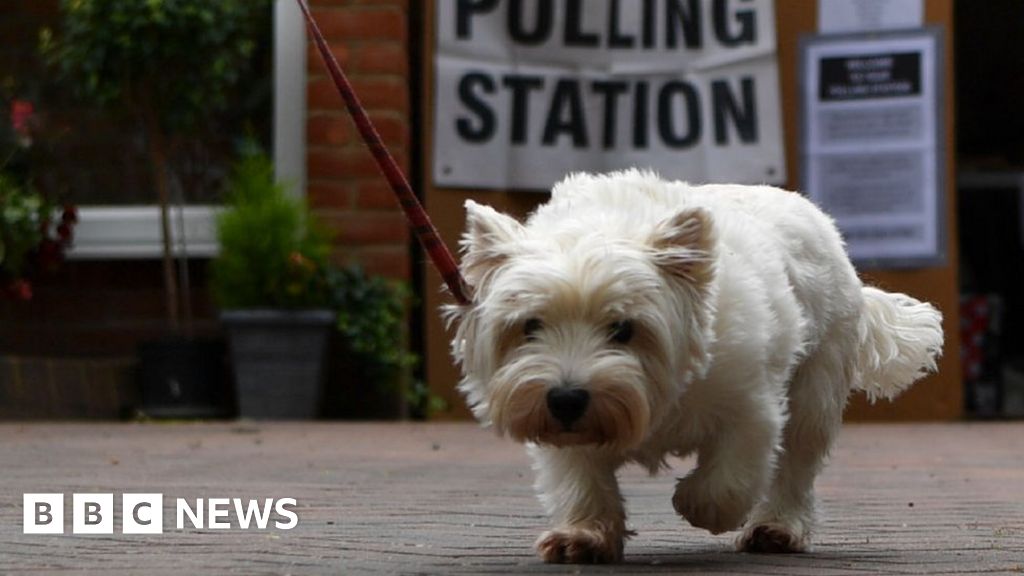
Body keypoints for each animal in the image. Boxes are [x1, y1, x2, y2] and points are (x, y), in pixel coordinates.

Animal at [444, 169, 937, 561]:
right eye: (530, 326)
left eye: (623, 328)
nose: (566, 399)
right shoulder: (565, 430)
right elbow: (579, 476)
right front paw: (583, 535)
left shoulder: (751, 405)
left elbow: (730, 478)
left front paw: (697, 503)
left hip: (817, 381)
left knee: (798, 459)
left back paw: (776, 528)